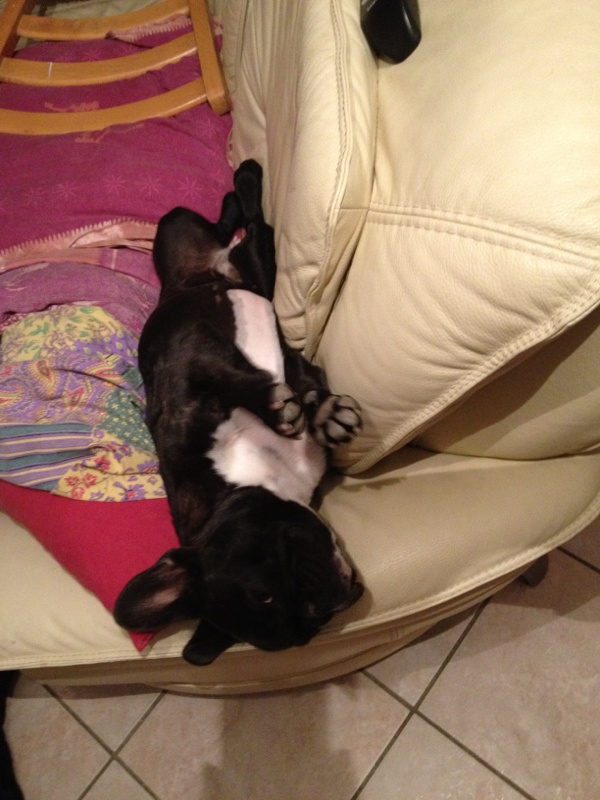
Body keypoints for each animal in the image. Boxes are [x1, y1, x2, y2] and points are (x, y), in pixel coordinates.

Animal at [114, 160, 364, 665]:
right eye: (314, 625)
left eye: (262, 593)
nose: (334, 600)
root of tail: (184, 279)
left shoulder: (189, 366)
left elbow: (245, 379)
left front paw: (314, 411)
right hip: (251, 264)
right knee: (235, 225)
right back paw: (236, 193)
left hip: (243, 254)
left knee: (250, 221)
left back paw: (245, 181)